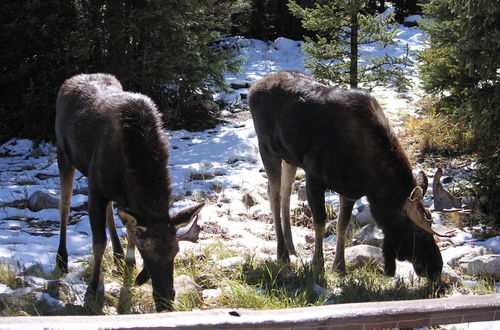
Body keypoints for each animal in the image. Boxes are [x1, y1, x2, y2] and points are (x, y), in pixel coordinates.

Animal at [54, 73, 203, 312]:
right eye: (147, 250)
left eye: (176, 251)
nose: (165, 302)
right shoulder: (96, 188)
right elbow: (98, 243)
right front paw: (92, 291)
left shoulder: (123, 196)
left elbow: (129, 228)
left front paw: (131, 266)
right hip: (63, 152)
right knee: (64, 206)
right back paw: (61, 259)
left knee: (110, 213)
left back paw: (118, 256)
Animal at [250, 71, 450, 280]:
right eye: (418, 232)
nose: (436, 267)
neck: (370, 180)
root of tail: (252, 89)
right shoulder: (314, 176)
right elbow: (320, 221)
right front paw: (318, 264)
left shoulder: (349, 191)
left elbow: (342, 225)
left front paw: (339, 266)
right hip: (267, 149)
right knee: (274, 195)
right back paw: (282, 253)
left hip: (289, 158)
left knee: (285, 194)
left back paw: (291, 247)